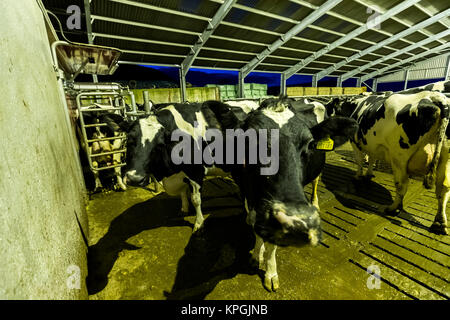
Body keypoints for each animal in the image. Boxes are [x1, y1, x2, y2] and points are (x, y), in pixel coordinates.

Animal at [326, 91, 450, 234]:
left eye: (330, 107)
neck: (354, 106)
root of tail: (437, 97)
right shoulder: (373, 145)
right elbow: (372, 158)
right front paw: (368, 174)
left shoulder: (355, 142)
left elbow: (359, 161)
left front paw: (358, 176)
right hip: (446, 160)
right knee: (443, 189)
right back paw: (439, 223)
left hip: (399, 157)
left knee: (402, 185)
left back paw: (392, 208)